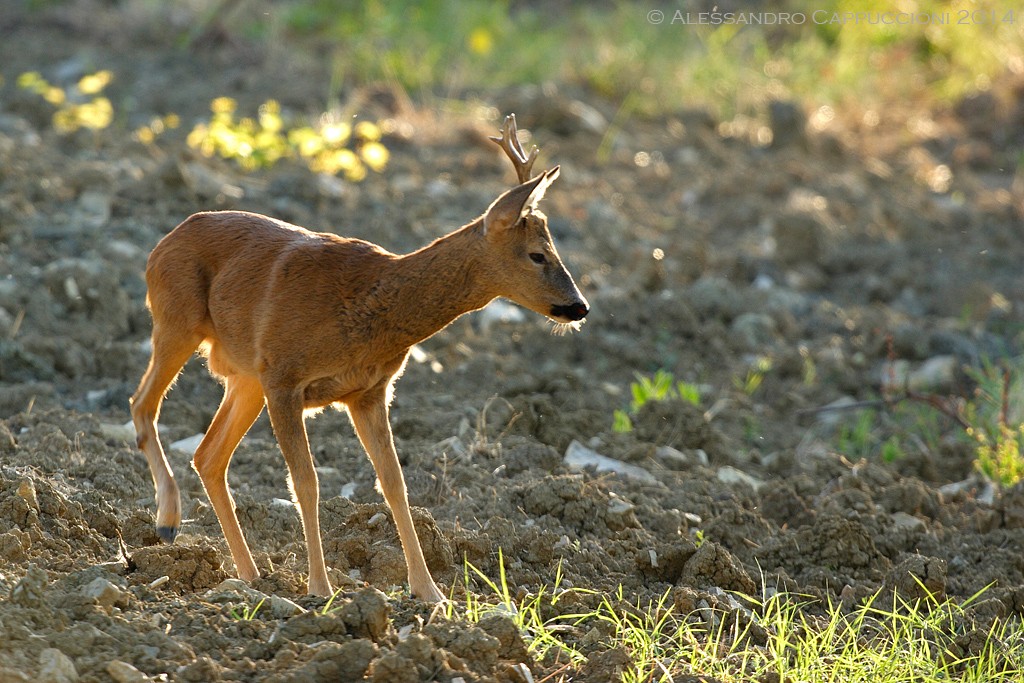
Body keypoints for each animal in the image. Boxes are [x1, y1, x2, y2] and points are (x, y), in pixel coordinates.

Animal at [132, 114, 589, 602]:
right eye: (537, 255)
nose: (580, 306)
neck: (373, 307)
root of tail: (161, 244)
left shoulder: (370, 392)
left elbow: (394, 484)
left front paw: (430, 591)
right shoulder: (285, 377)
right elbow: (306, 483)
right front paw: (319, 587)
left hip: (246, 377)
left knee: (208, 455)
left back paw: (252, 575)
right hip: (178, 321)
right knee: (144, 406)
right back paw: (169, 522)